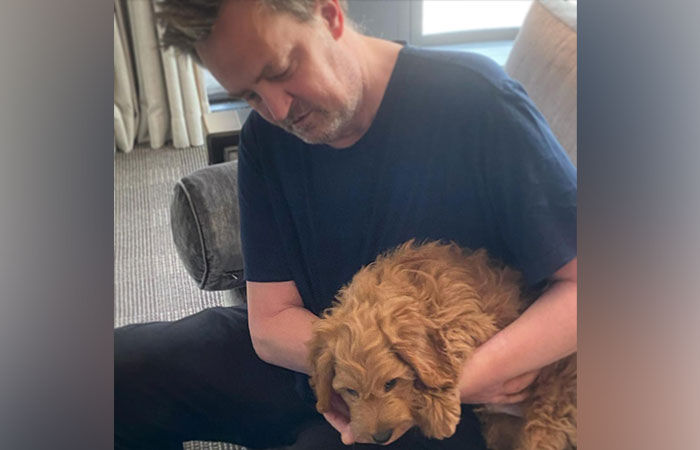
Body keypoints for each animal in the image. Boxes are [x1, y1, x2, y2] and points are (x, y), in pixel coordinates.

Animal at [308, 240, 577, 449]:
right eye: (351, 392)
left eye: (391, 383)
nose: (381, 437)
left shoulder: (473, 319)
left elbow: (448, 347)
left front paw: (437, 410)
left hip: (549, 405)